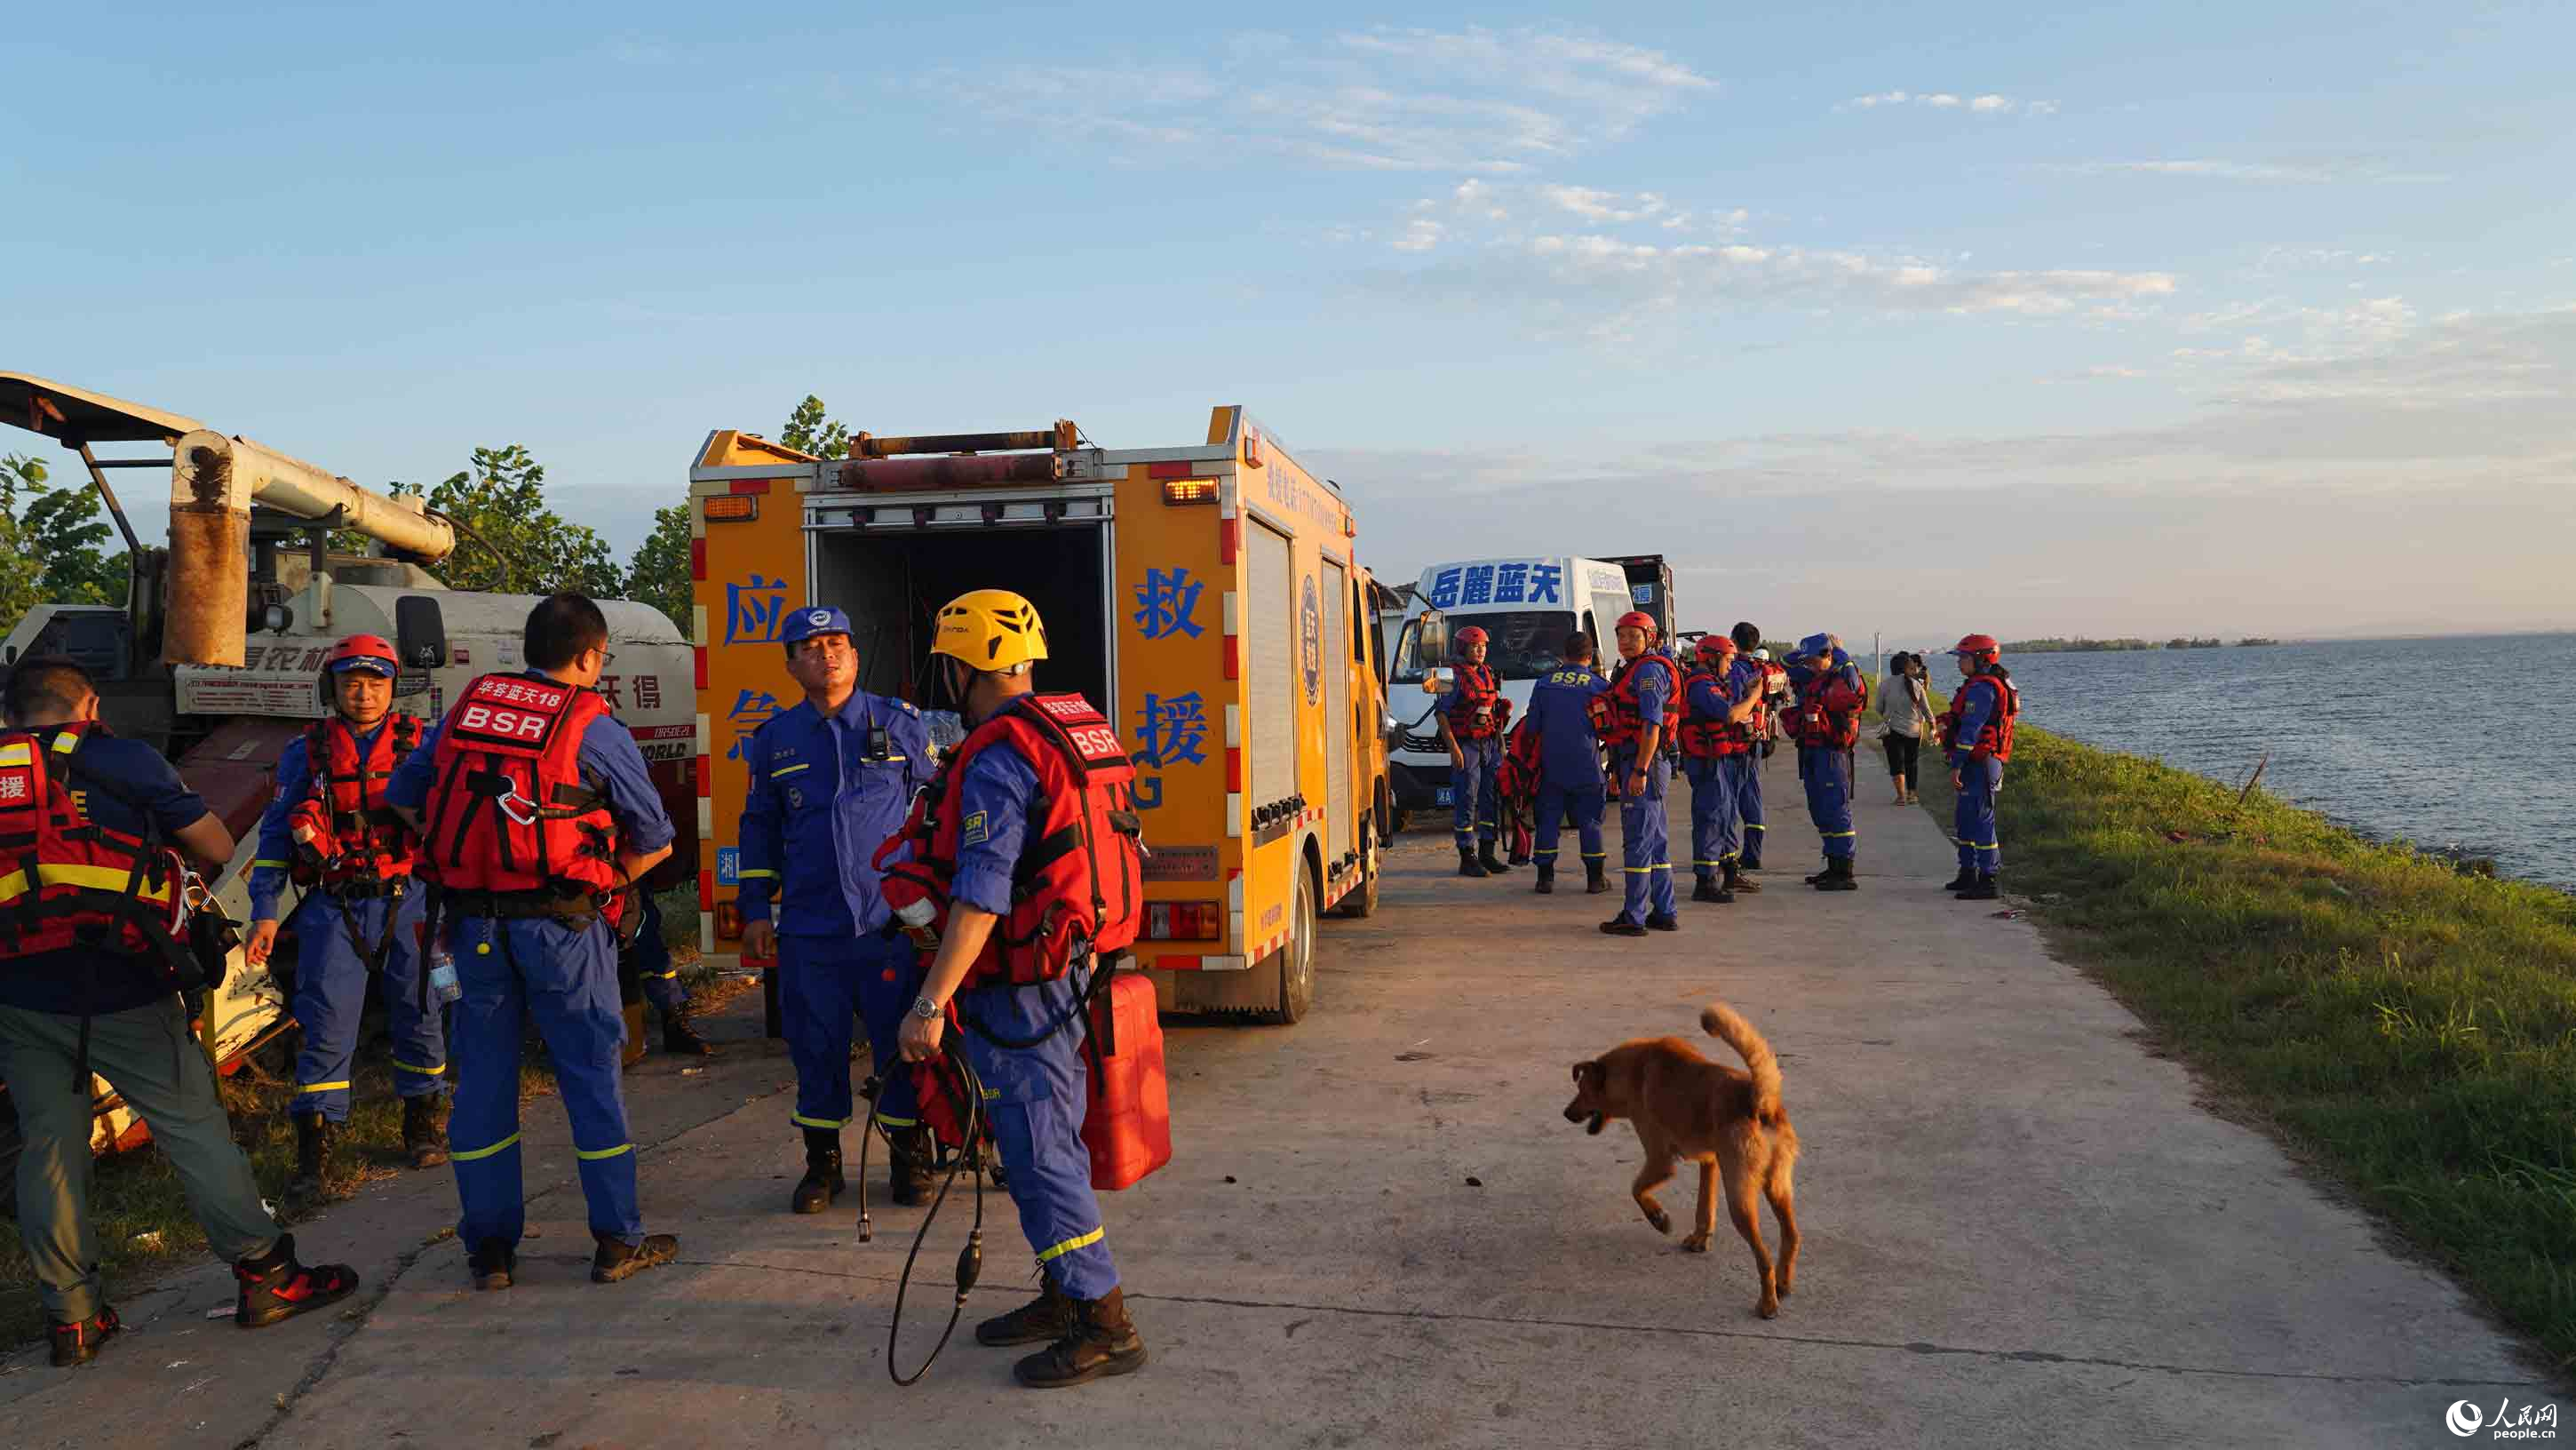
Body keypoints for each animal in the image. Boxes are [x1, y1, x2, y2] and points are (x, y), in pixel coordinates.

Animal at [1555, 1004, 1803, 1319]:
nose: (1566, 1113)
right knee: (1791, 1236)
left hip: (1740, 1197)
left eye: (1582, 1091)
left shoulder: (1659, 1159)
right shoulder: (1710, 1162)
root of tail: (1762, 1102)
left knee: (1764, 1256)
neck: (1633, 1070)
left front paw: (1658, 1218)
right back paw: (1783, 1285)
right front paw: (1699, 1239)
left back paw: (1768, 1304)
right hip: (1777, 1188)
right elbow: (1704, 1207)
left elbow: (1636, 1189)